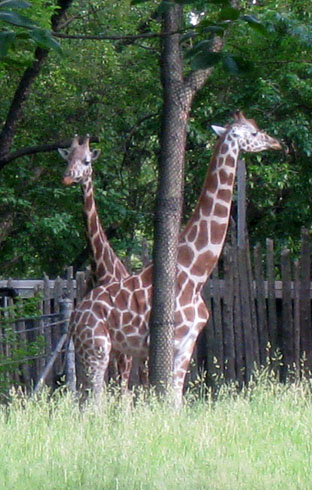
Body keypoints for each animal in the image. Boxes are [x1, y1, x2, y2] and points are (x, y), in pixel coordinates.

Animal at [69, 111, 282, 406]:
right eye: (252, 133)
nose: (276, 142)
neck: (194, 274)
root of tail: (76, 317)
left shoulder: (186, 345)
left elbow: (175, 400)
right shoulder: (171, 341)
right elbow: (167, 399)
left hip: (92, 350)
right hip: (97, 347)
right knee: (95, 402)